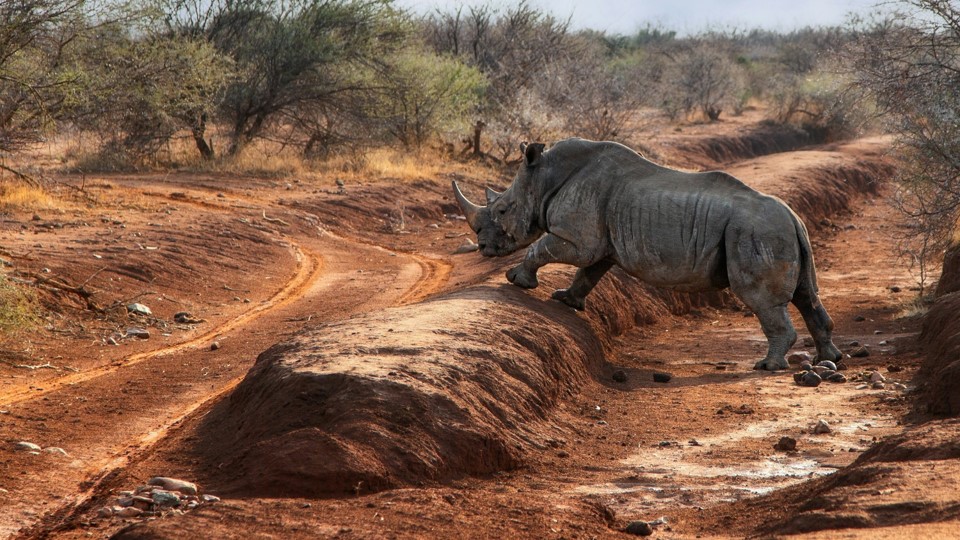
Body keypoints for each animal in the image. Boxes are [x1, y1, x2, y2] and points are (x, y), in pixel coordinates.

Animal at [452, 138, 842, 370]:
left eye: (503, 210)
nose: (484, 248)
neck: (545, 177)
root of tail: (794, 218)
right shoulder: (601, 243)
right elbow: (588, 273)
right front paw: (566, 300)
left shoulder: (580, 237)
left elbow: (544, 246)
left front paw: (517, 281)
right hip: (783, 234)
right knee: (808, 295)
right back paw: (829, 360)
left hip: (755, 232)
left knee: (762, 300)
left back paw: (767, 366)